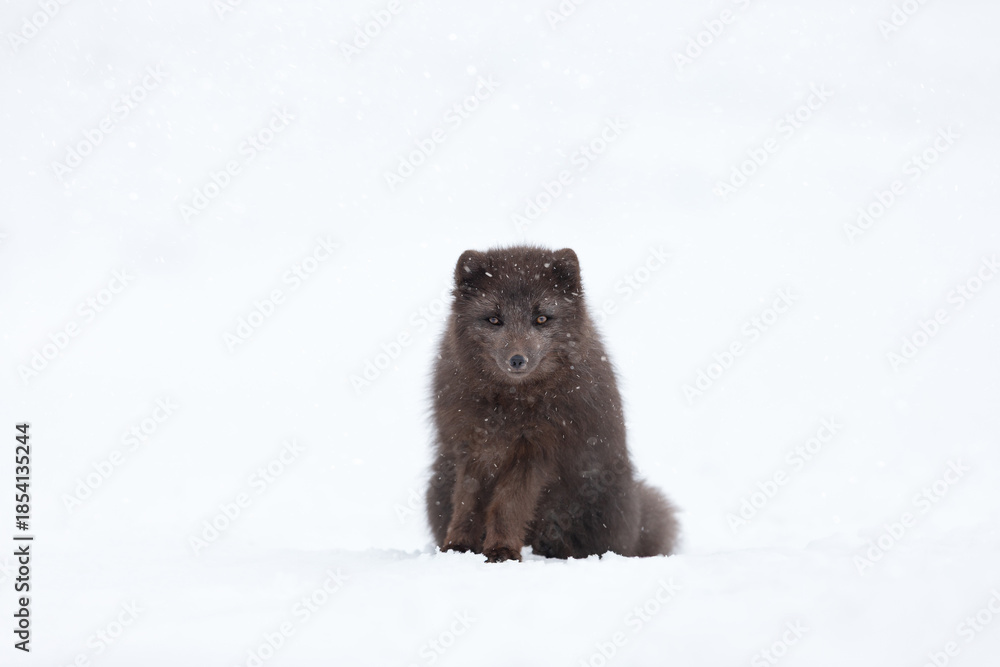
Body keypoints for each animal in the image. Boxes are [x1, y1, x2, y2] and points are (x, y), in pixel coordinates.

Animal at [425, 245, 679, 562]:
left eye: (542, 319)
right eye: (494, 319)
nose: (517, 359)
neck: (509, 406)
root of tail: (634, 536)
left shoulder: (536, 450)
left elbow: (508, 505)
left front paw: (501, 550)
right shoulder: (470, 446)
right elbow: (466, 501)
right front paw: (457, 547)